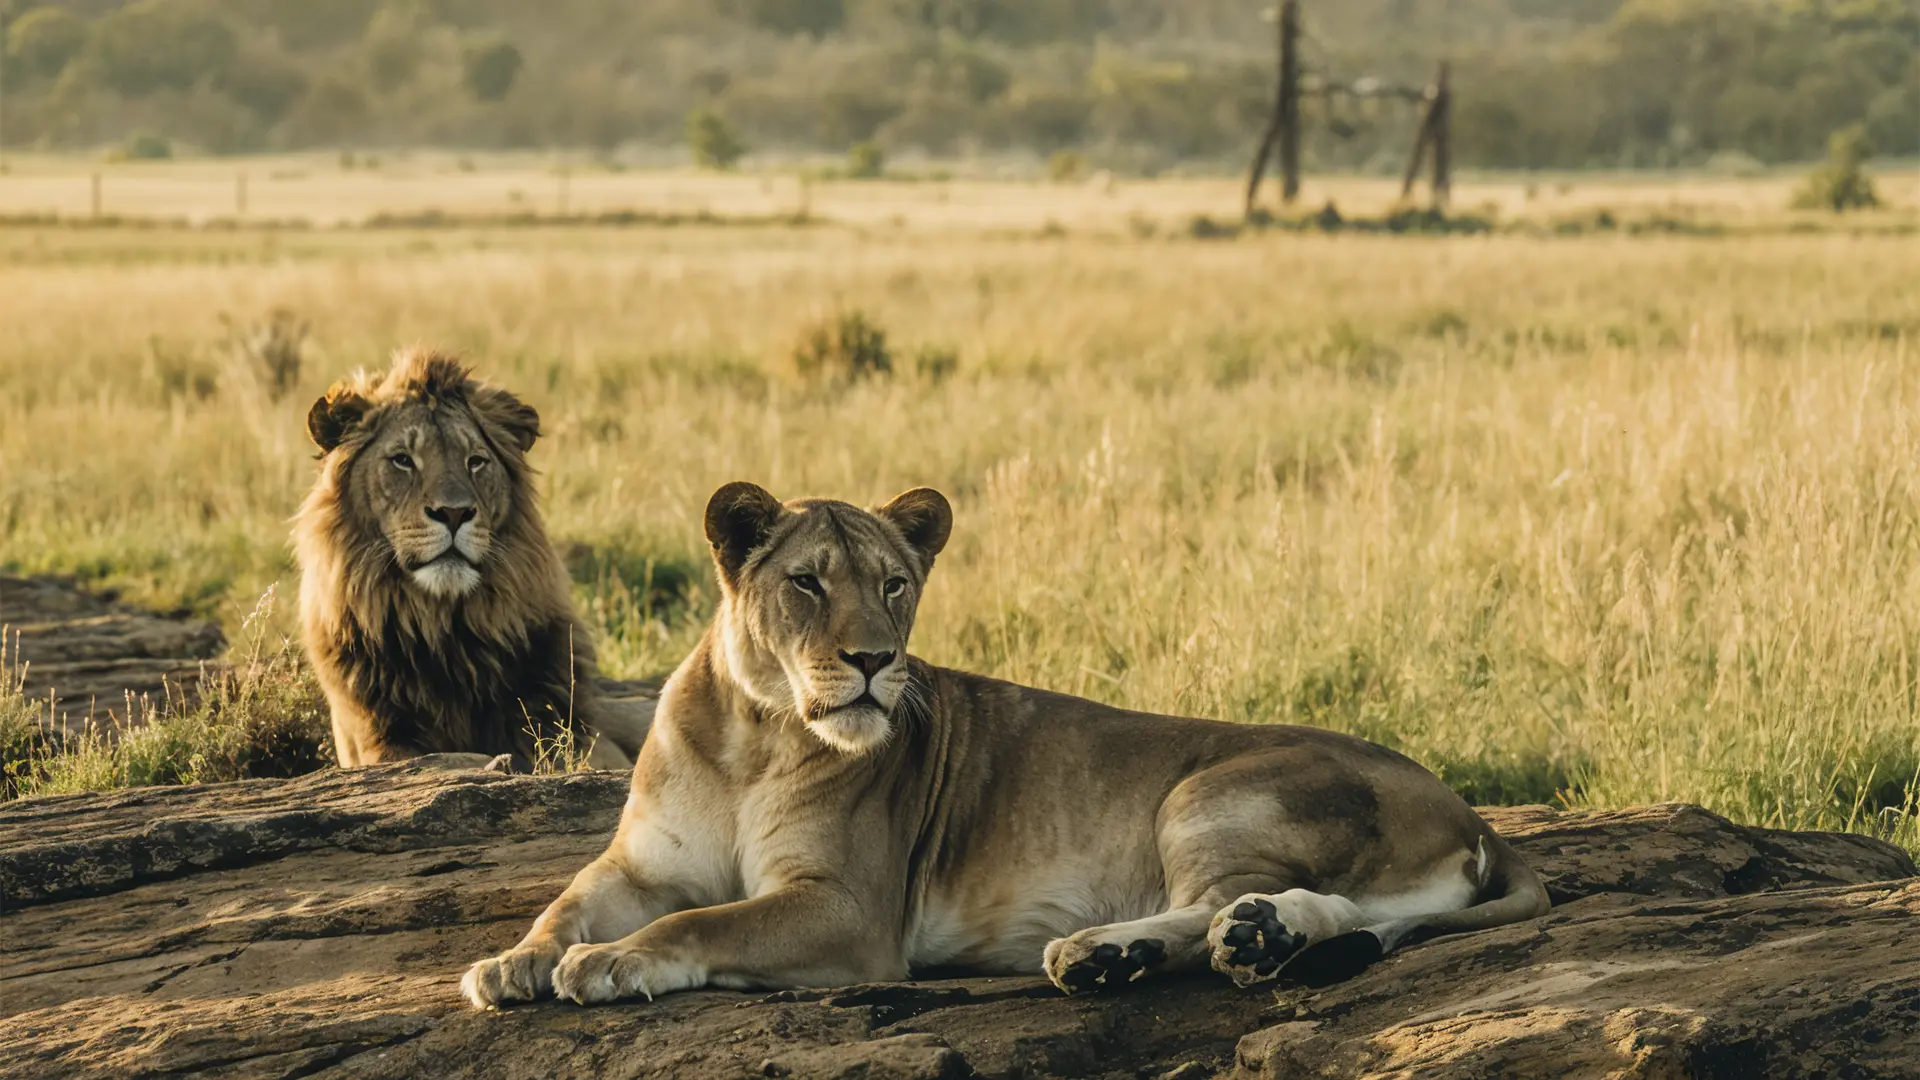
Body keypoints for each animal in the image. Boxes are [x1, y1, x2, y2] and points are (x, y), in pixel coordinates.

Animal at [295, 349, 648, 770]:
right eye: (402, 460)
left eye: (476, 461)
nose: (453, 513)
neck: (442, 628)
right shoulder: (376, 740)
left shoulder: (582, 734)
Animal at [461, 481, 1549, 1007]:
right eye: (807, 582)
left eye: (895, 583)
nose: (873, 659)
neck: (752, 734)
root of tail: (1473, 815)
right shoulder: (639, 864)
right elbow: (567, 905)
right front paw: (512, 965)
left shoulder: (849, 911)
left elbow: (704, 924)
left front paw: (613, 965)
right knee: (1331, 915)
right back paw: (1229, 945)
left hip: (1207, 792)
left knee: (1228, 905)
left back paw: (1118, 951)